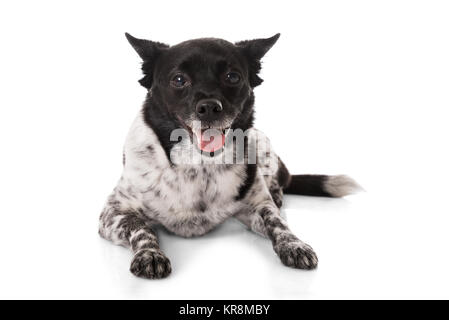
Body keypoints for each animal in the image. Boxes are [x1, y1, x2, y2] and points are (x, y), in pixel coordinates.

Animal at [99, 31, 360, 278]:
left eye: (232, 77)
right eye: (179, 80)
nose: (209, 108)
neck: (198, 166)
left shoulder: (257, 206)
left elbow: (277, 221)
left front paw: (294, 244)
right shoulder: (113, 213)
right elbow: (142, 228)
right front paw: (150, 253)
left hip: (263, 142)